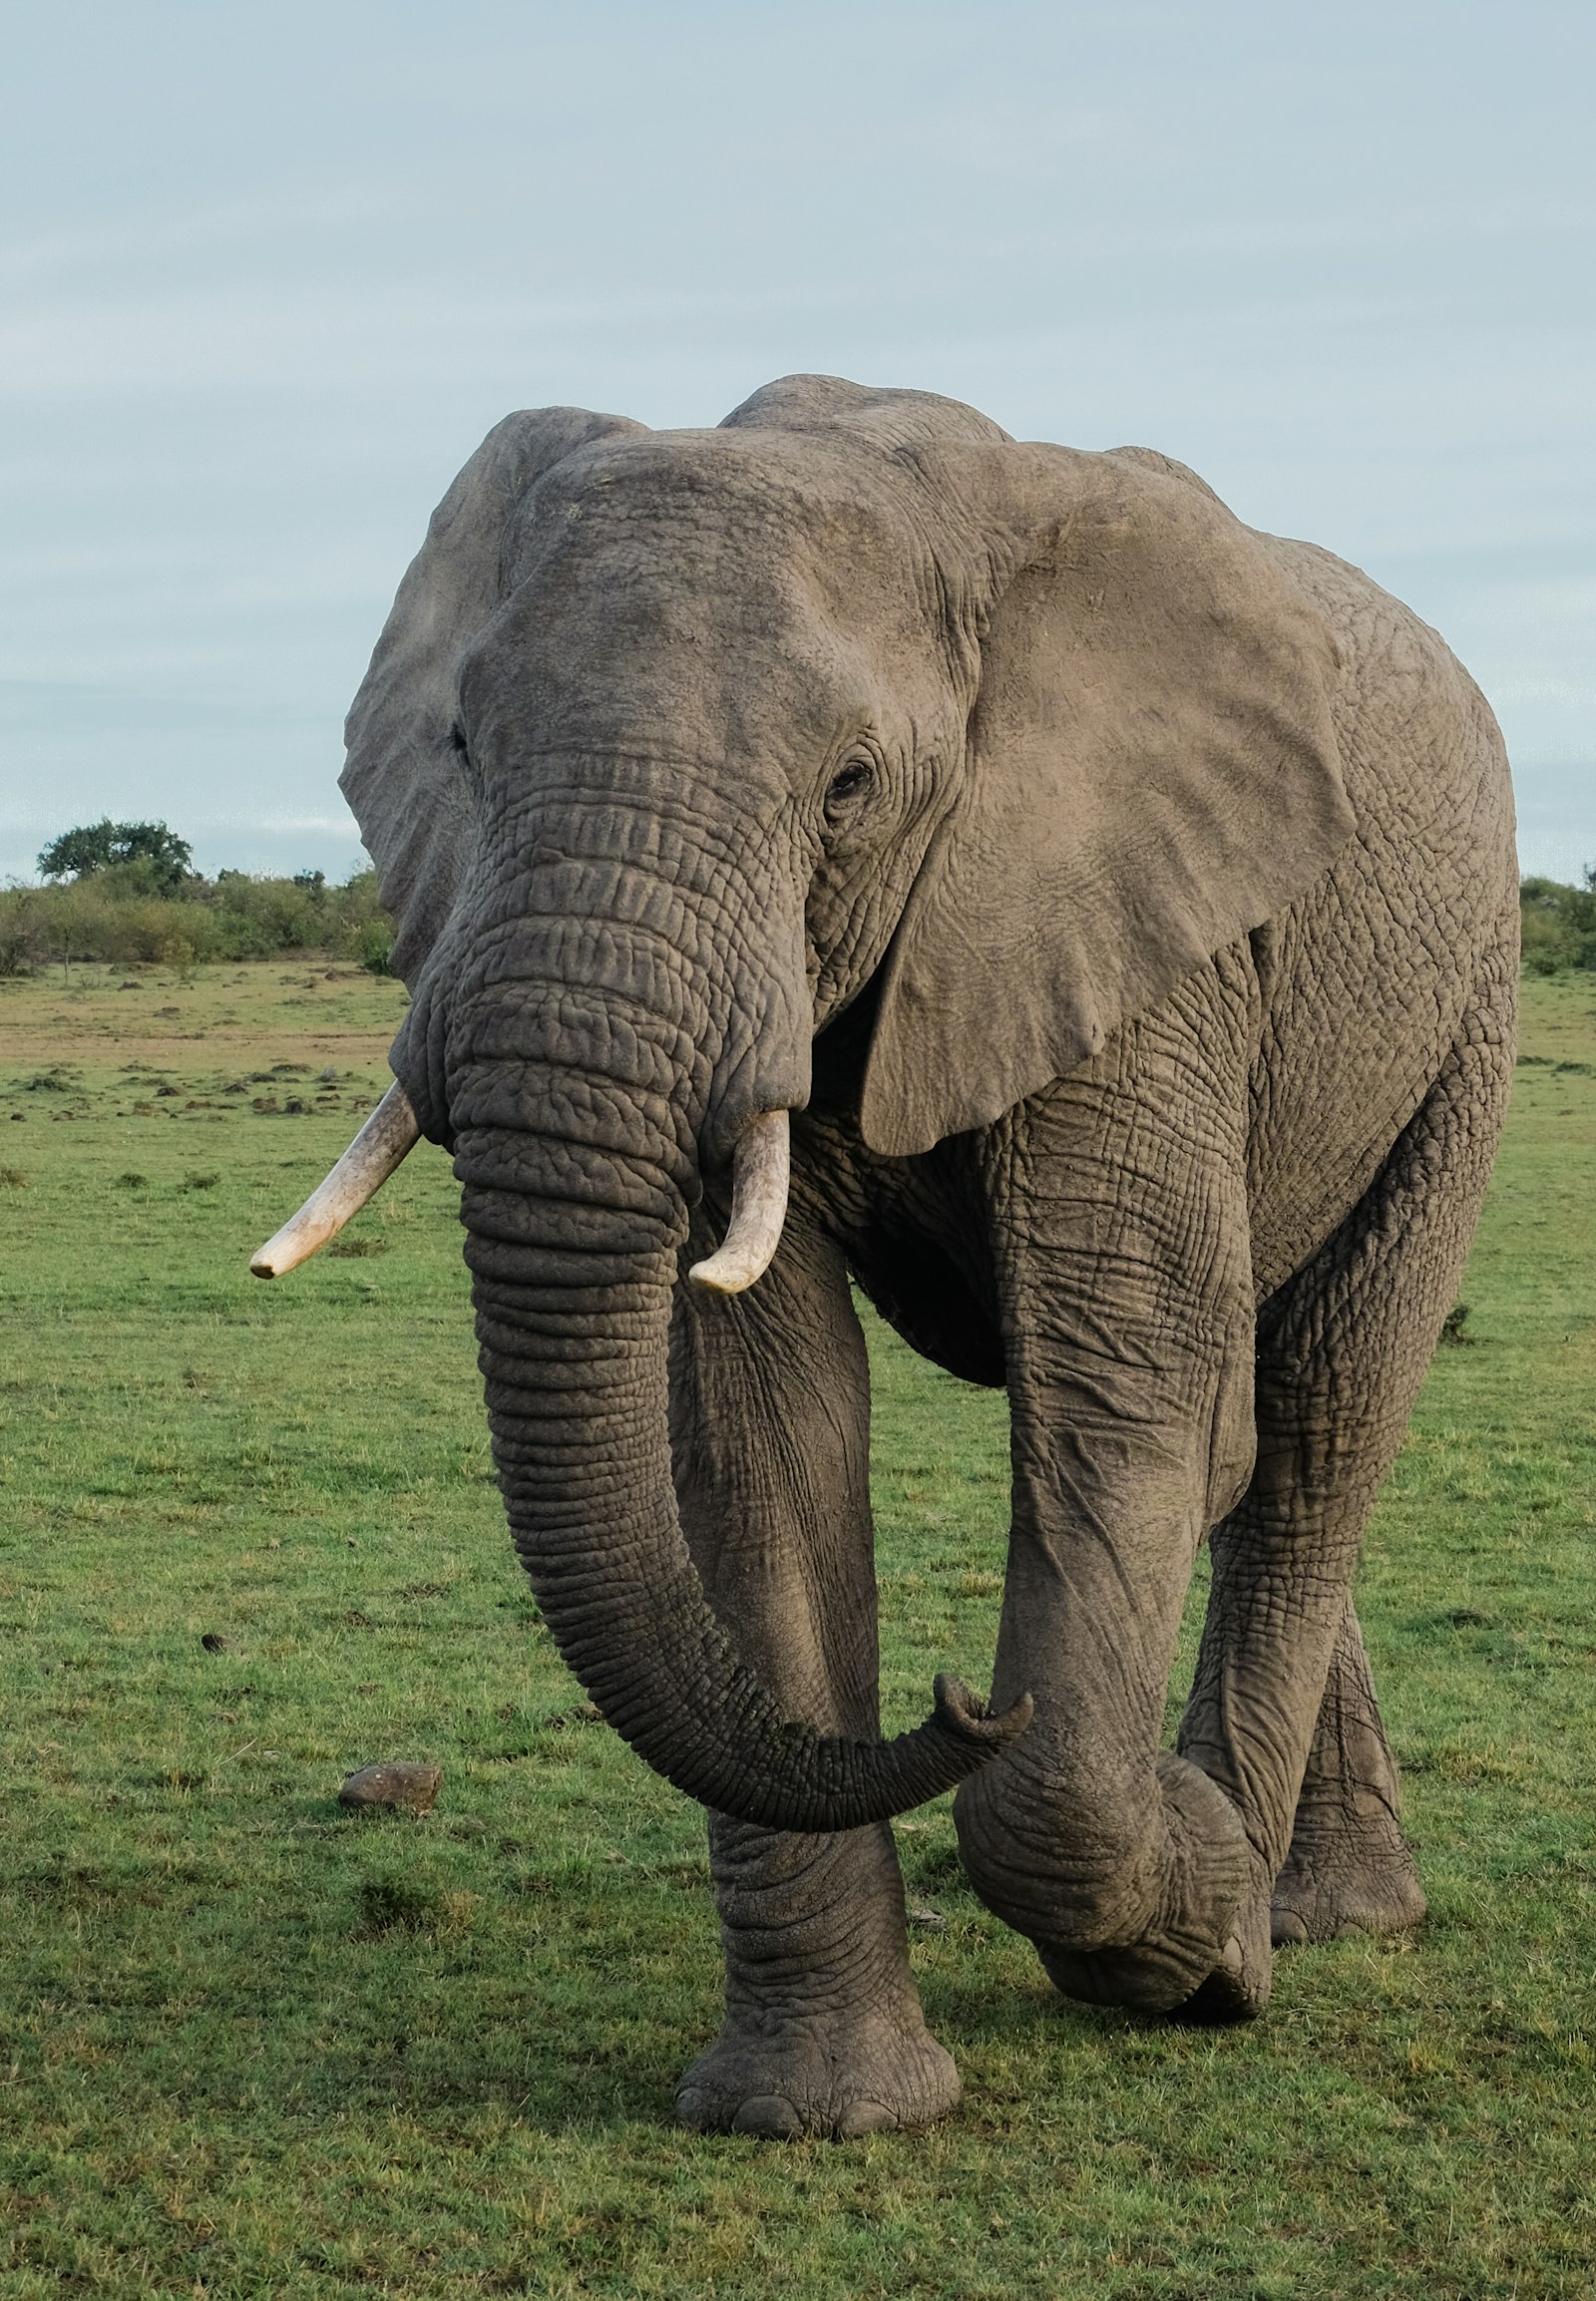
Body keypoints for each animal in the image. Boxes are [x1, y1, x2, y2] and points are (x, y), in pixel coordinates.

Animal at [254, 375, 1517, 2138]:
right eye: (460, 746)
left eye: (849, 786)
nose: (960, 1698)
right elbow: (761, 1431)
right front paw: (821, 2114)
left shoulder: (1135, 924)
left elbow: (1127, 1385)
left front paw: (1192, 1939)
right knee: (1267, 1432)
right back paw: (1306, 1900)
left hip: (1468, 1002)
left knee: (1319, 1411)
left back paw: (1276, 1913)